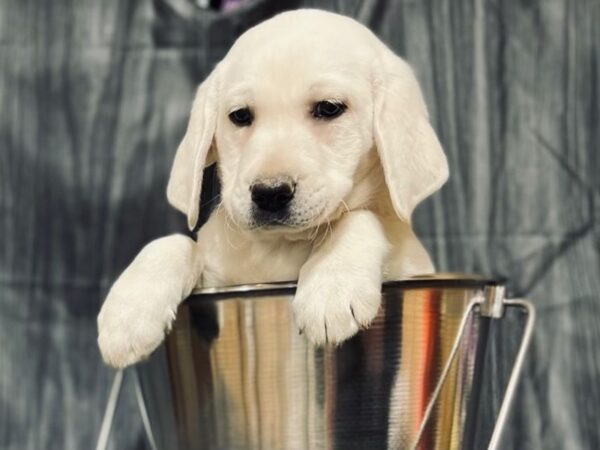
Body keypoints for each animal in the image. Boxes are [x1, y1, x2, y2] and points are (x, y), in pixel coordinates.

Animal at [97, 9, 446, 370]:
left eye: (329, 108)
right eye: (239, 116)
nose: (269, 193)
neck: (281, 246)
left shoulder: (410, 263)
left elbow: (362, 216)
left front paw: (332, 284)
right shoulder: (215, 280)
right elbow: (175, 242)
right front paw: (128, 312)